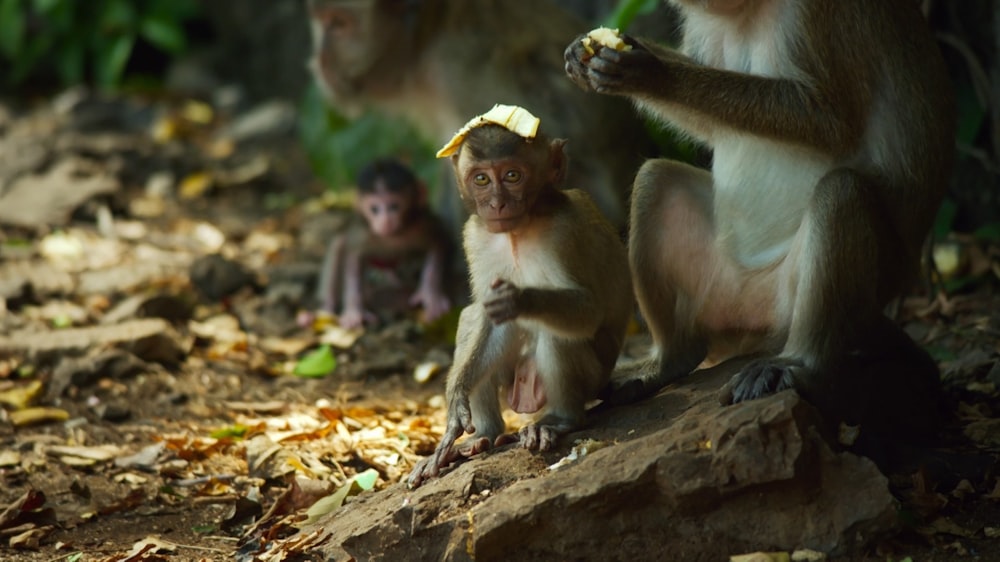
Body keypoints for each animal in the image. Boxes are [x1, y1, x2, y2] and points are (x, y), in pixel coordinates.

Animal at [316, 156, 454, 328]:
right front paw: (354, 311)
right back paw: (324, 310)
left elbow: (437, 243)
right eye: (374, 209)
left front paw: (431, 296)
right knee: (338, 245)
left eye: (394, 206)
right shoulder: (363, 233)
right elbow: (353, 257)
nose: (385, 221)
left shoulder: (422, 224)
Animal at [408, 105, 632, 486]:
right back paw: (484, 434)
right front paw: (456, 399)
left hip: (591, 377)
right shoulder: (475, 235)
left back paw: (560, 420)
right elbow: (486, 318)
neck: (518, 230)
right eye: (482, 179)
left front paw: (520, 299)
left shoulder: (563, 229)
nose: (497, 204)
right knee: (471, 318)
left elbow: (588, 310)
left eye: (513, 175)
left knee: (560, 334)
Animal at [568, 2, 956, 422]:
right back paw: (669, 360)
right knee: (656, 180)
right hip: (723, 294)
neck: (747, 10)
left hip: (856, 286)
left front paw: (653, 74)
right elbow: (711, 129)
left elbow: (831, 120)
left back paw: (802, 365)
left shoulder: (819, 14)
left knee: (842, 193)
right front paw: (586, 54)